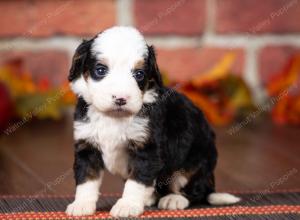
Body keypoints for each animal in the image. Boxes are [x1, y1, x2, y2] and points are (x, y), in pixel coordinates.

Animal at [67, 26, 240, 217]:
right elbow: (86, 179)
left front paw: (127, 205)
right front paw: (81, 204)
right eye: (100, 70)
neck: (114, 117)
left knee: (194, 190)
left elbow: (136, 181)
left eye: (139, 74)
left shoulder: (147, 148)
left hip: (195, 162)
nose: (121, 99)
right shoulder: (87, 145)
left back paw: (174, 199)